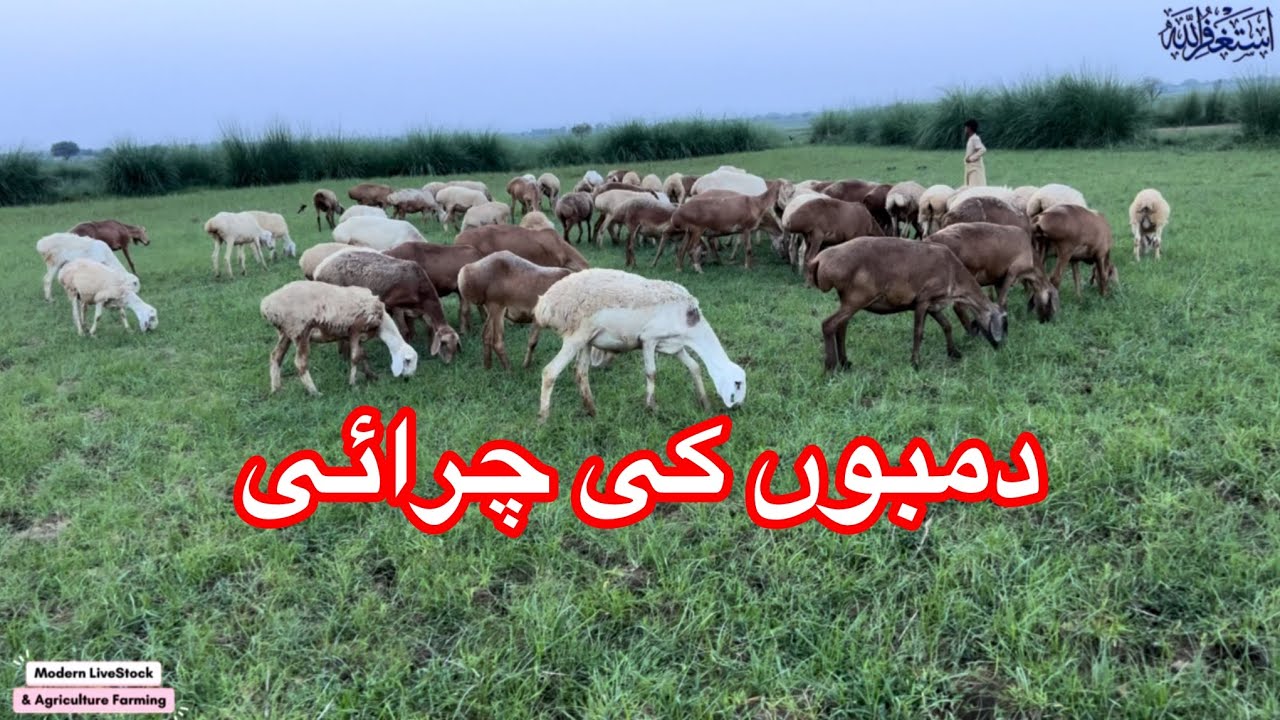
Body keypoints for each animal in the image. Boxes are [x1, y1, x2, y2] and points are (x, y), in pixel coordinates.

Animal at [260, 280, 419, 395]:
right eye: (408, 360)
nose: (408, 379)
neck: (381, 323)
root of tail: (266, 305)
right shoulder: (355, 329)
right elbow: (355, 358)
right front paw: (353, 384)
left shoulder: (354, 336)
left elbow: (363, 354)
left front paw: (371, 375)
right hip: (300, 330)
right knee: (300, 363)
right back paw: (314, 392)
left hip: (285, 333)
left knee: (275, 356)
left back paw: (276, 389)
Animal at [313, 251, 461, 363]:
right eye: (444, 344)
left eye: (455, 346)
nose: (448, 363)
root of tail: (318, 271)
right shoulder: (395, 306)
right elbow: (405, 331)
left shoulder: (418, 311)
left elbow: (429, 328)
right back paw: (345, 356)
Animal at [532, 268, 746, 421]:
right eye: (738, 384)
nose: (738, 407)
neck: (690, 325)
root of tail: (544, 305)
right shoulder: (649, 339)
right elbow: (651, 373)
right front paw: (652, 407)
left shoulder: (674, 345)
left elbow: (694, 367)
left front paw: (705, 403)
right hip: (575, 336)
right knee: (550, 372)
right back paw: (544, 419)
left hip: (585, 340)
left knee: (581, 373)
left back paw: (592, 410)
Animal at [808, 236, 1008, 371]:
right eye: (1004, 324)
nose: (1001, 348)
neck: (955, 279)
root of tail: (820, 260)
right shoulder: (923, 300)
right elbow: (918, 333)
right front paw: (915, 363)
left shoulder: (933, 305)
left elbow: (947, 325)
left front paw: (954, 353)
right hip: (857, 297)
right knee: (829, 324)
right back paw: (831, 366)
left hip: (849, 299)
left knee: (841, 326)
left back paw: (845, 362)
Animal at [926, 222, 1059, 323]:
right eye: (1050, 304)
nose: (1046, 321)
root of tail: (931, 238)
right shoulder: (1011, 274)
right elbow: (1001, 300)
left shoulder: (998, 280)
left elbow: (1003, 303)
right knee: (958, 307)